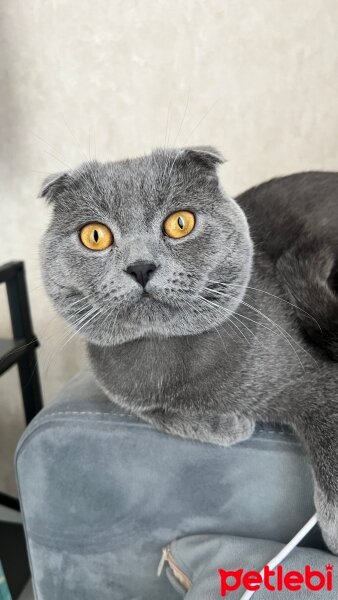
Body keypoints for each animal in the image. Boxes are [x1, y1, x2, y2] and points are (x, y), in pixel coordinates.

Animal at [40, 149, 338, 552]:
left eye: (180, 223)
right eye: (95, 235)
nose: (140, 266)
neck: (164, 362)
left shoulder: (317, 378)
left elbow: (329, 435)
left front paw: (335, 528)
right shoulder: (129, 397)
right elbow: (160, 415)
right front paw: (228, 425)